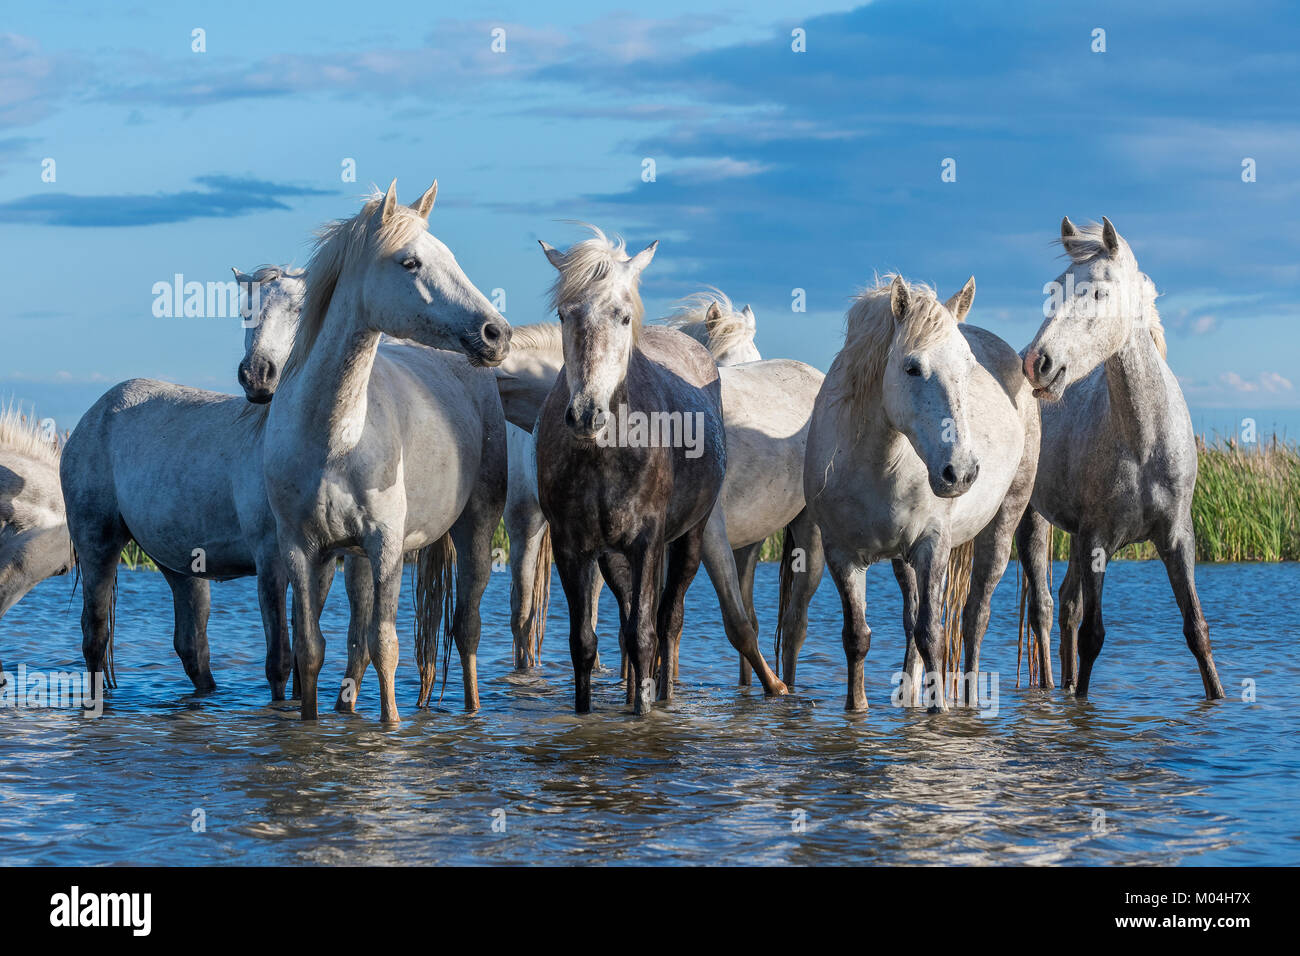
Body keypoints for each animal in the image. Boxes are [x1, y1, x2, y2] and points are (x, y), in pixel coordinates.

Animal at [260, 180, 512, 717]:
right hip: (349, 558)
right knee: (357, 638)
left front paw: (391, 725)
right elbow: (311, 648)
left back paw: (473, 710)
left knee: (466, 629)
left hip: (477, 531)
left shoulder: (387, 546)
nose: (496, 334)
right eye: (409, 262)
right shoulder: (301, 550)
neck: (333, 440)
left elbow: (386, 644)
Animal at [795, 274, 1040, 712]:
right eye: (912, 368)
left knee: (975, 617)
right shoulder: (843, 555)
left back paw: (970, 700)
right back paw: (908, 695)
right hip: (903, 560)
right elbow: (858, 636)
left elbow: (933, 635)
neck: (877, 463)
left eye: (968, 368)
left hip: (1004, 521)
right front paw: (856, 707)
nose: (960, 472)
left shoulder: (932, 544)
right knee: (912, 619)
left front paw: (938, 711)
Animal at [1019, 218, 1222, 702]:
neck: (1143, 443)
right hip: (1032, 522)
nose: (1037, 363)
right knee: (1044, 608)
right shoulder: (1097, 542)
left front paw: (1219, 696)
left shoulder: (1178, 539)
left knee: (1066, 605)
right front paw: (1080, 704)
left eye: (1098, 292)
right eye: (1055, 289)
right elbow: (1093, 635)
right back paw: (1051, 688)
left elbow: (1197, 629)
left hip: (1073, 536)